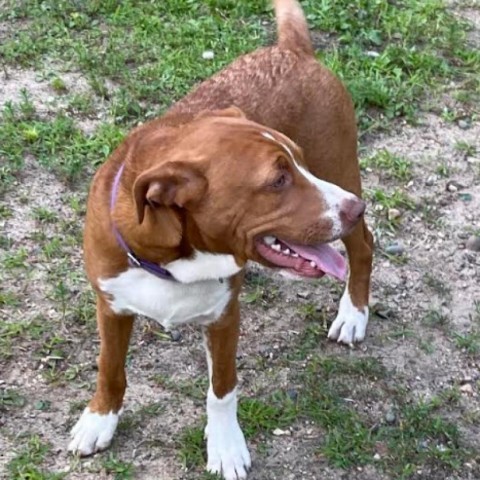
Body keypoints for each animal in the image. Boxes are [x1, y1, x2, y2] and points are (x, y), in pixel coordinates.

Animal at [68, 1, 376, 478]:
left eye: (299, 165)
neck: (172, 259)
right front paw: (99, 420)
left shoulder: (224, 317)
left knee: (364, 246)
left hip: (341, 170)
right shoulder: (111, 305)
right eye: (278, 180)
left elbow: (222, 389)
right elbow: (110, 369)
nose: (354, 207)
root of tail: (291, 50)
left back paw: (353, 315)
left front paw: (226, 447)